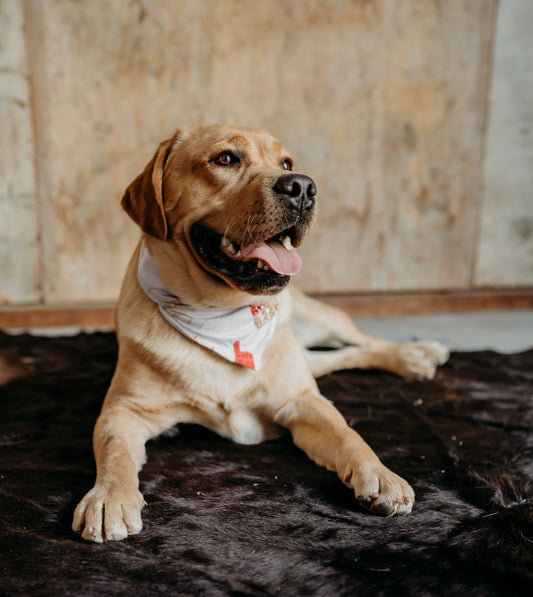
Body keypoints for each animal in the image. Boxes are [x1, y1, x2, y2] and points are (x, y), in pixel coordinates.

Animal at [70, 123, 444, 544]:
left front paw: (381, 474)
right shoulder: (123, 410)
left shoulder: (301, 401)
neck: (217, 312)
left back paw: (416, 354)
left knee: (360, 343)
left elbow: (347, 433)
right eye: (226, 158)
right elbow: (114, 450)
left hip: (320, 321)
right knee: (336, 357)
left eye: (287, 163)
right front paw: (109, 496)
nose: (303, 187)